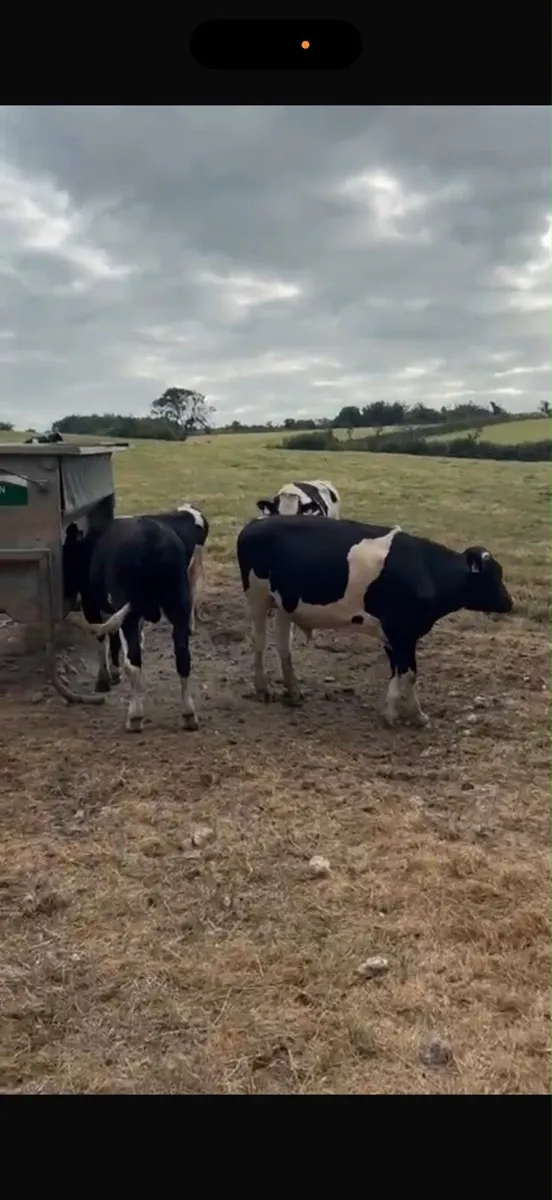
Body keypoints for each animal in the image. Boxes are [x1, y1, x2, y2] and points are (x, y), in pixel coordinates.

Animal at [63, 516, 199, 734]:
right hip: (178, 603)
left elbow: (103, 639)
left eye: (66, 556)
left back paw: (134, 717)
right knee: (183, 656)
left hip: (131, 609)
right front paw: (114, 672)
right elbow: (116, 639)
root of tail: (152, 537)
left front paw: (104, 679)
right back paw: (188, 714)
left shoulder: (92, 605)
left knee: (134, 660)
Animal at [236, 515, 513, 728]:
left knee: (284, 644)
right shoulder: (400, 631)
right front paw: (409, 715)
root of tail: (255, 523)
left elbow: (399, 673)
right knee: (259, 641)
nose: (509, 603)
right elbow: (408, 674)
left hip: (285, 604)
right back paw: (263, 689)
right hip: (257, 597)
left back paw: (293, 691)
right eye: (490, 576)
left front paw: (399, 712)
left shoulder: (396, 635)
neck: (426, 571)